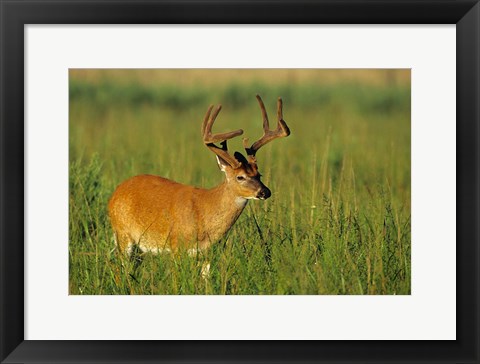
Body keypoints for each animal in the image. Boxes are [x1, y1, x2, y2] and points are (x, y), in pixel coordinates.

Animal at [107, 94, 290, 258]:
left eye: (259, 174)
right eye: (240, 177)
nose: (265, 192)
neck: (205, 211)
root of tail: (115, 193)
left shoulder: (208, 253)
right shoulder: (176, 246)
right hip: (123, 235)